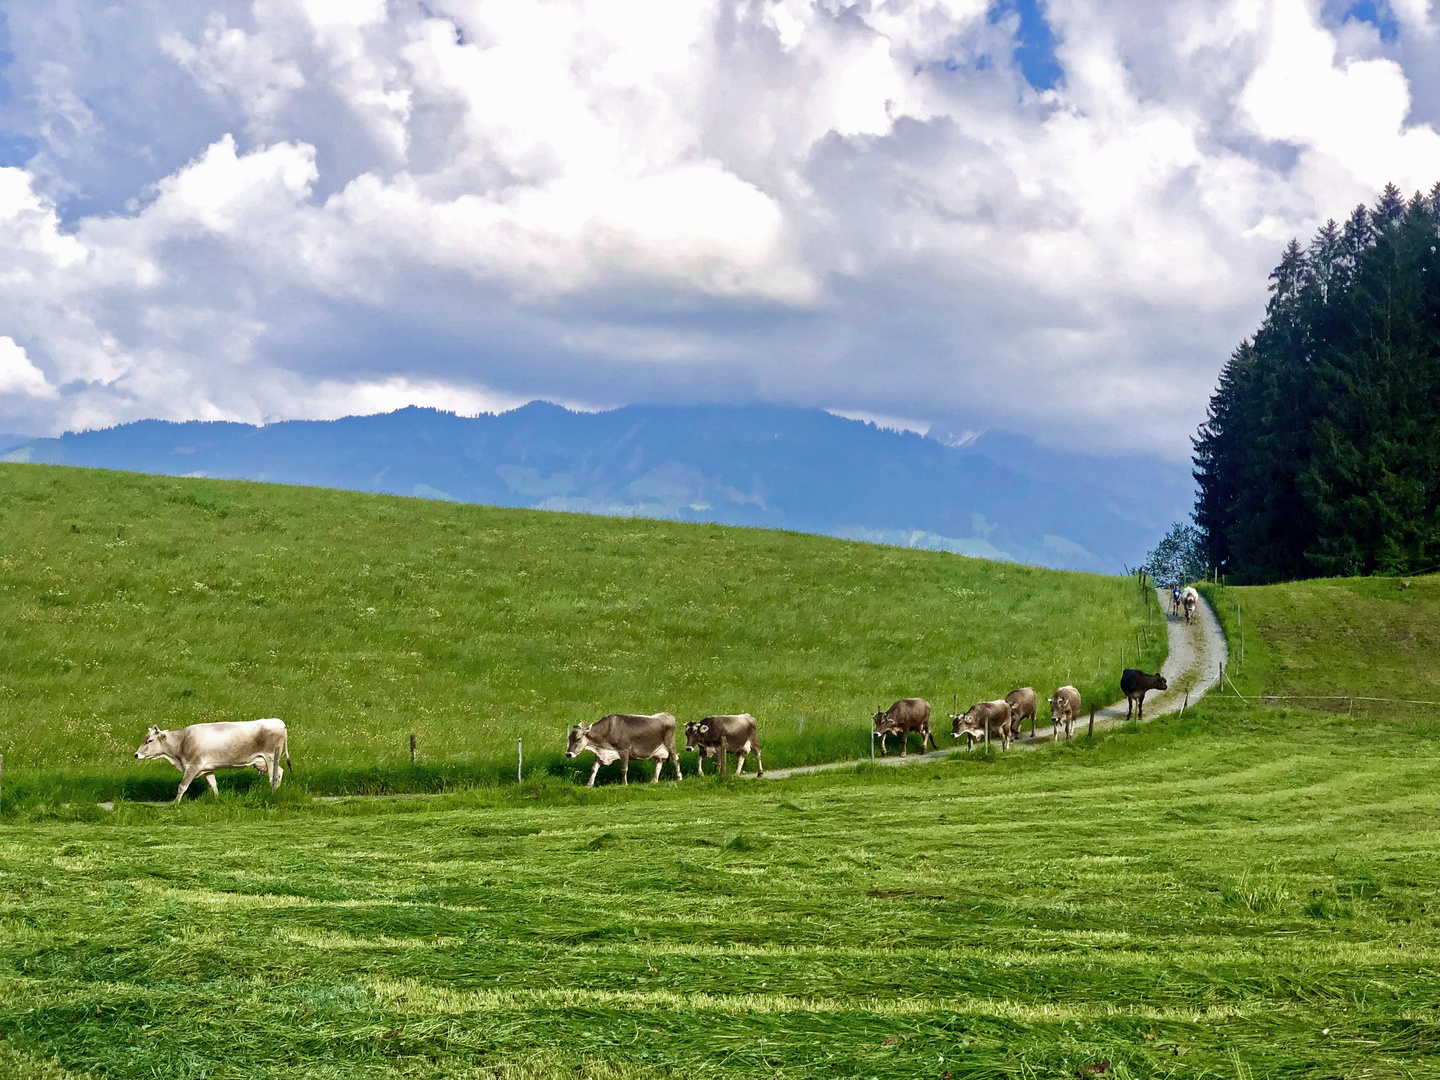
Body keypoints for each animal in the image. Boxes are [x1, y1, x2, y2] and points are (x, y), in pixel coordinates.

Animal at [133, 720, 290, 806]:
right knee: (280, 772)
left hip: (270, 758)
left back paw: (273, 793)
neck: (182, 742)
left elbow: (182, 786)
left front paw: (175, 803)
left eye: (149, 740)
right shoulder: (207, 769)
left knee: (274, 776)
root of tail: (279, 722)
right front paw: (217, 799)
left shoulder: (192, 766)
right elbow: (213, 785)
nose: (136, 754)